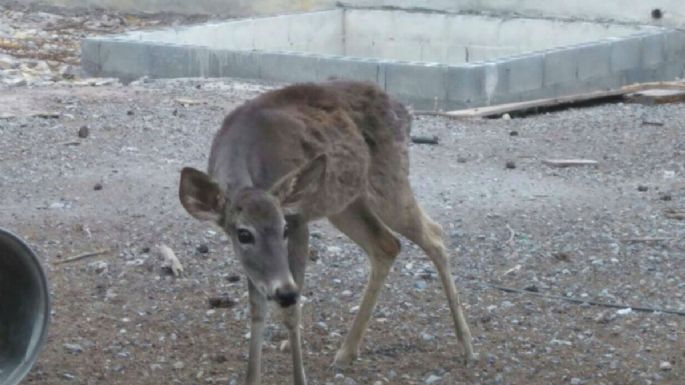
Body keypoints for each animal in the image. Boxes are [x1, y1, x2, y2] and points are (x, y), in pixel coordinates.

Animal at [179, 79, 472, 382]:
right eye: (244, 234)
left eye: (284, 228)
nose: (284, 293)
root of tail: (405, 111)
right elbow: (257, 310)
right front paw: (252, 378)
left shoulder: (300, 220)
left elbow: (292, 312)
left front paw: (300, 378)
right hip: (345, 203)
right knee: (387, 244)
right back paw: (346, 352)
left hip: (389, 181)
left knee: (434, 234)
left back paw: (466, 345)